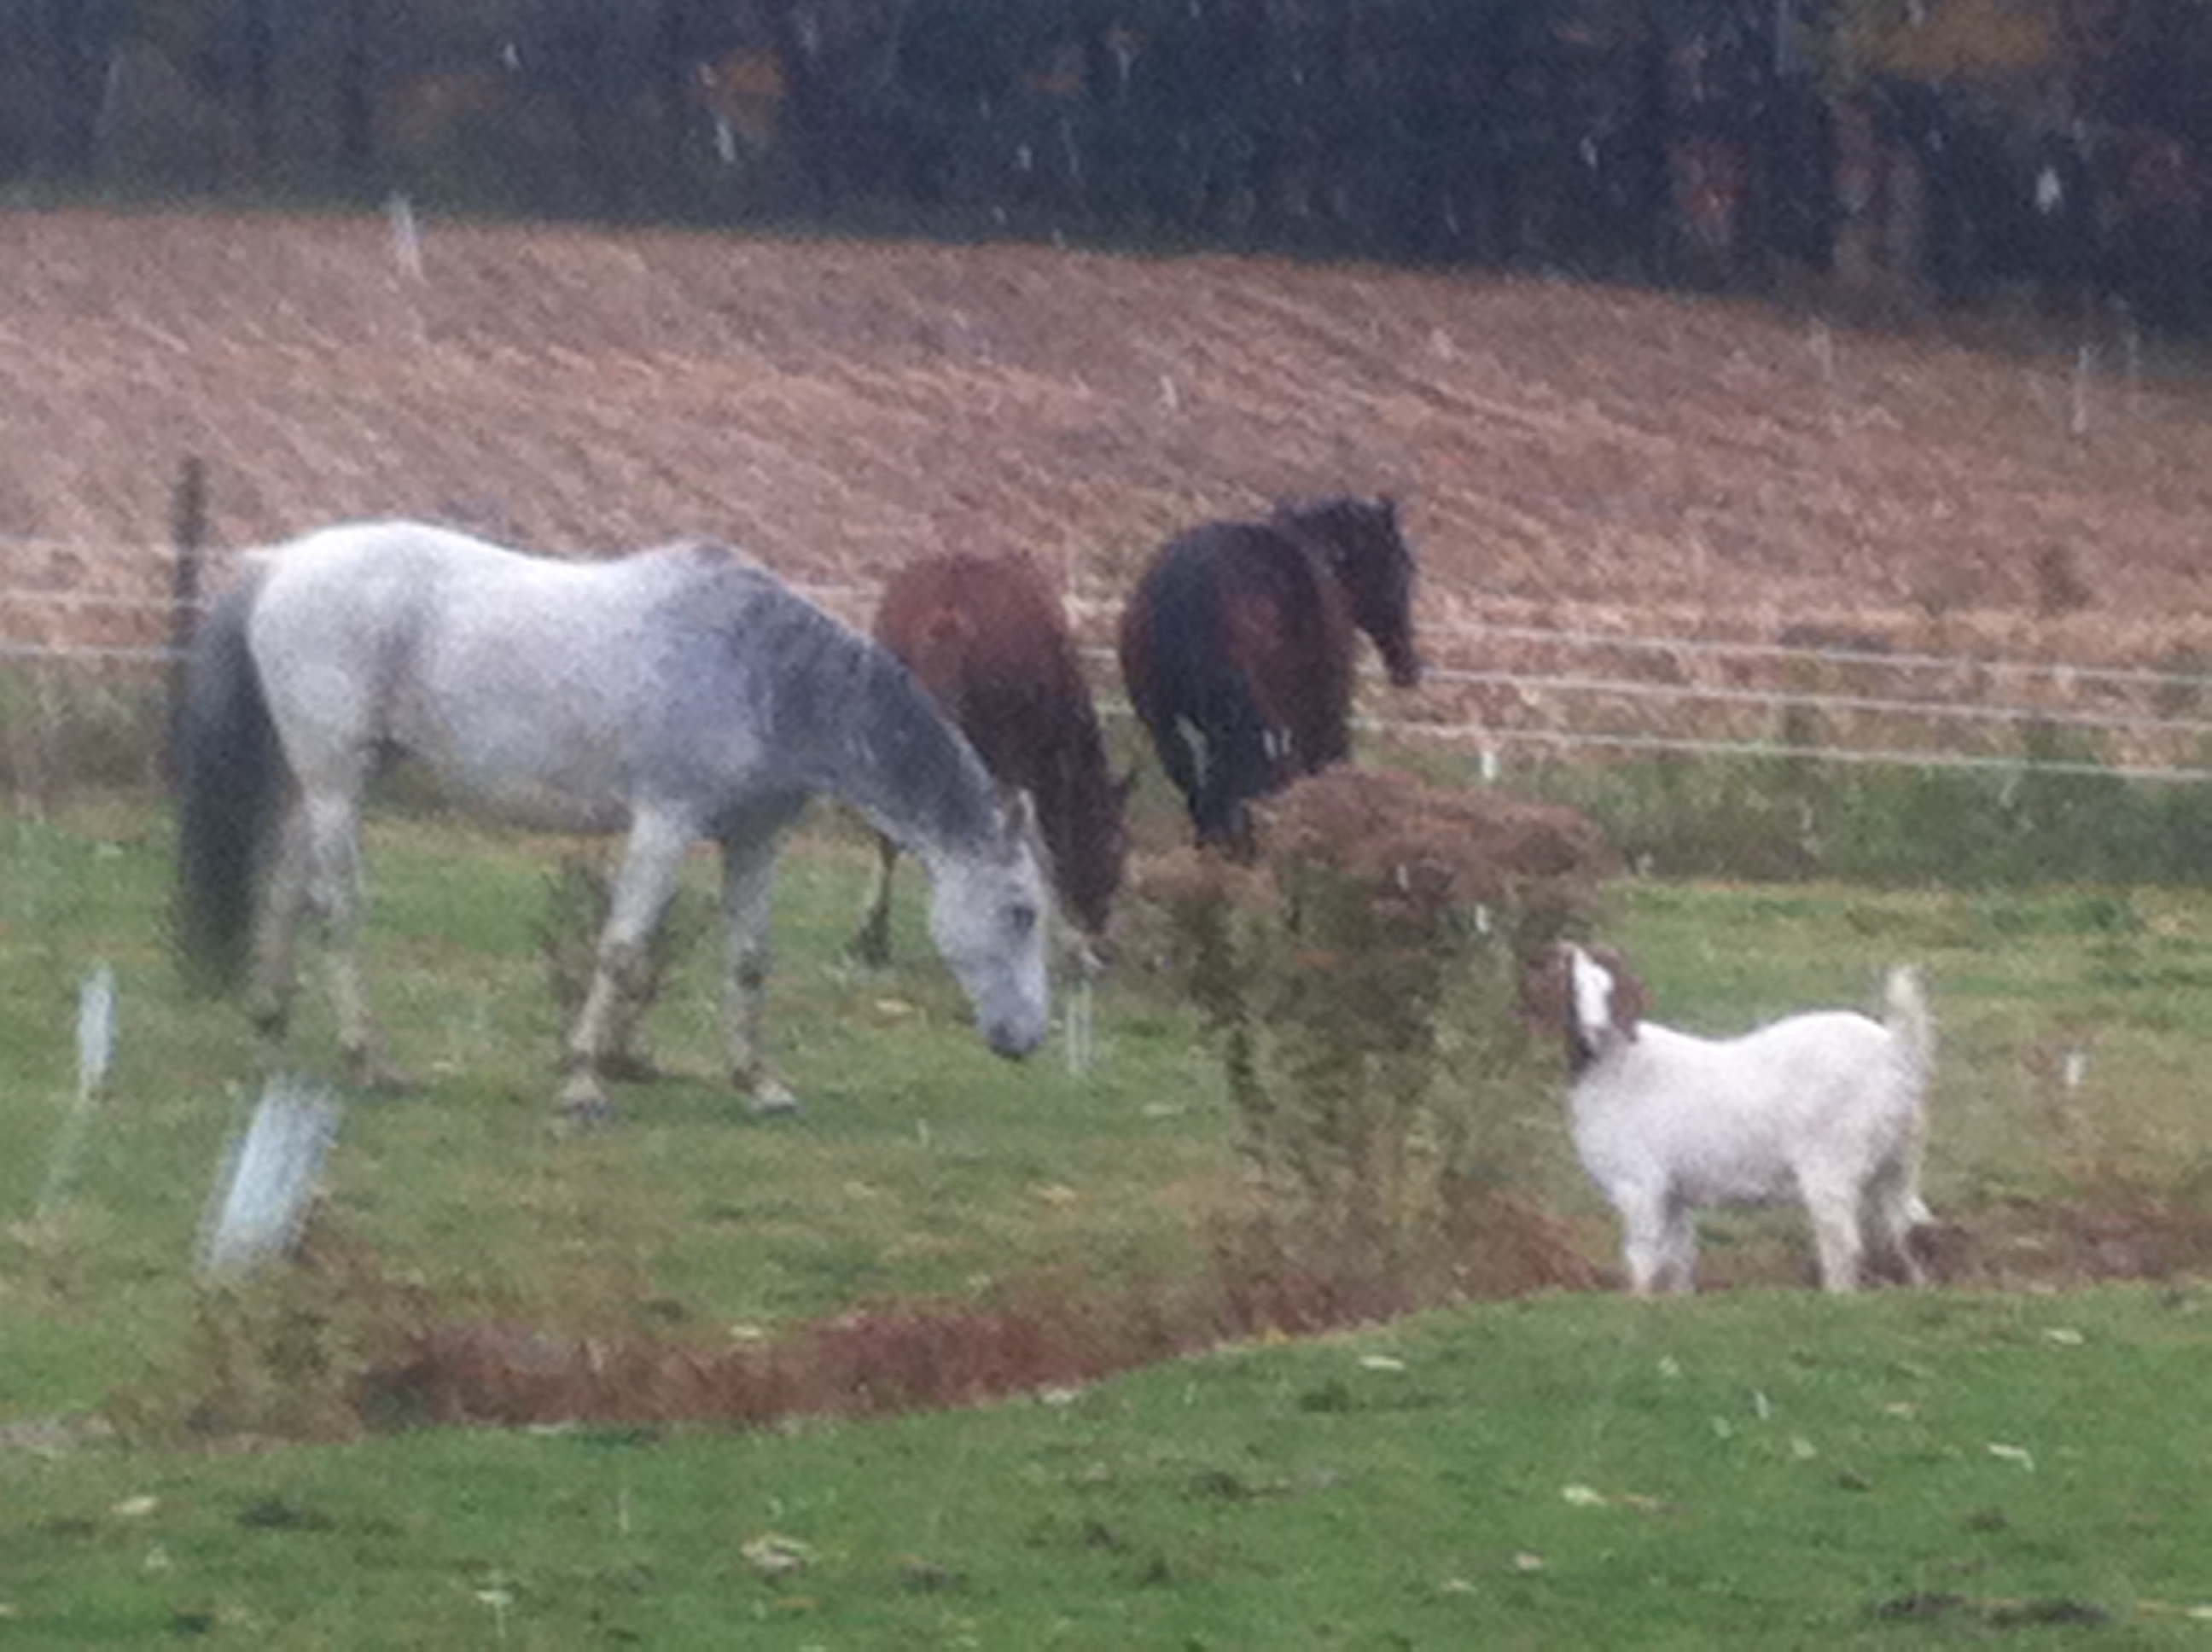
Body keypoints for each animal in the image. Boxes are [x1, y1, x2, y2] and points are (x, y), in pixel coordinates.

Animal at [173, 521, 1052, 1123]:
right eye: (1022, 912)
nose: (1028, 1038)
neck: (765, 676)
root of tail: (281, 562)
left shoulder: (756, 840)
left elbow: (750, 961)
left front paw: (759, 1084)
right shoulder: (665, 820)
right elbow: (624, 952)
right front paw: (583, 1085)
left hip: (321, 785)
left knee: (285, 893)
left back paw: (270, 1037)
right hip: (336, 784)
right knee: (338, 911)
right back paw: (372, 1062)